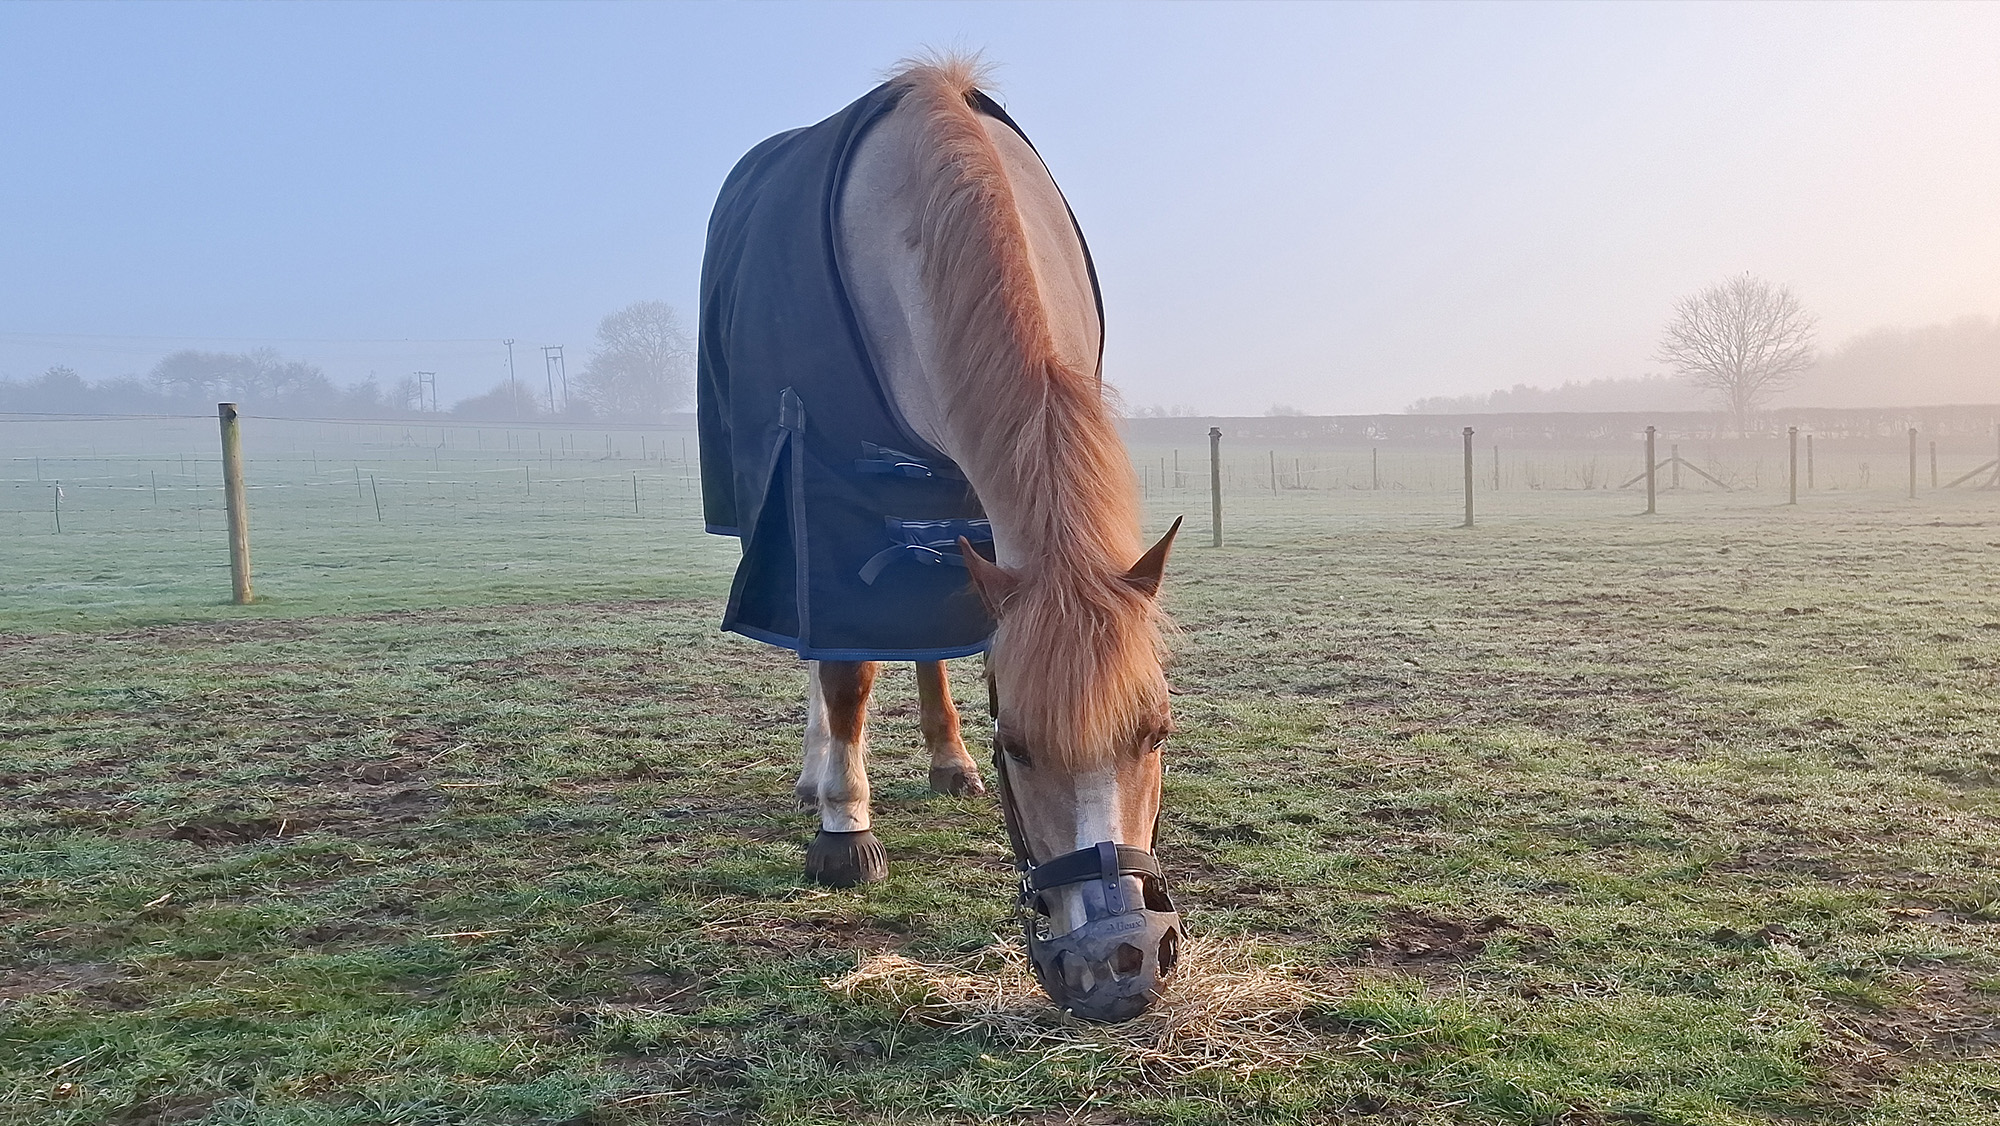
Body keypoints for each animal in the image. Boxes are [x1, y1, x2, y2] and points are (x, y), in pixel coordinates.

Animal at [697, 56, 1182, 1022]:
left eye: (1155, 732)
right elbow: (845, 669)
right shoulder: (825, 489)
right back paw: (819, 777)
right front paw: (844, 831)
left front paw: (950, 759)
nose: (1120, 963)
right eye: (1020, 745)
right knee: (819, 641)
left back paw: (941, 762)